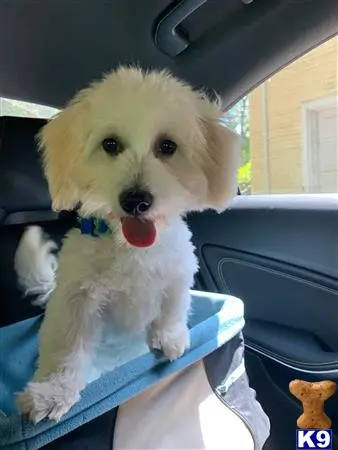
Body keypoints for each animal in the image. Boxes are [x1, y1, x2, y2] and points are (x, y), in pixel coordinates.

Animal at [13, 67, 240, 422]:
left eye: (167, 146)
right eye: (110, 144)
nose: (136, 200)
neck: (132, 248)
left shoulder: (178, 272)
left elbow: (173, 305)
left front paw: (170, 337)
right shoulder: (75, 298)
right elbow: (67, 346)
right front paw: (54, 392)